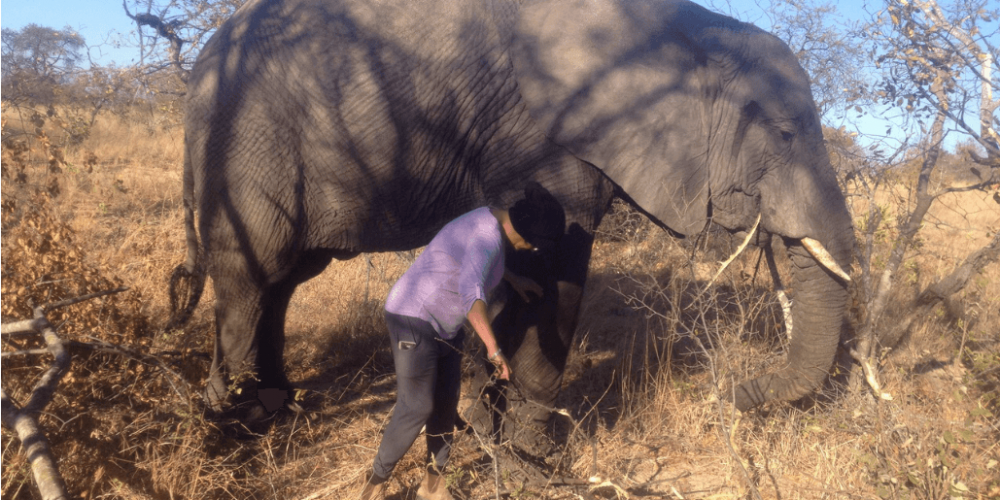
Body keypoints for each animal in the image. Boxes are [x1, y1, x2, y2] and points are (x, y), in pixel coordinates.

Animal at [168, 0, 856, 446]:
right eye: (784, 135)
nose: (731, 393)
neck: (691, 27)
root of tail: (198, 68)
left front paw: (488, 425)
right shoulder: (541, 137)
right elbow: (555, 266)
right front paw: (536, 453)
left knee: (283, 280)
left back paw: (277, 406)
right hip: (246, 139)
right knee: (251, 277)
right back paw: (233, 428)